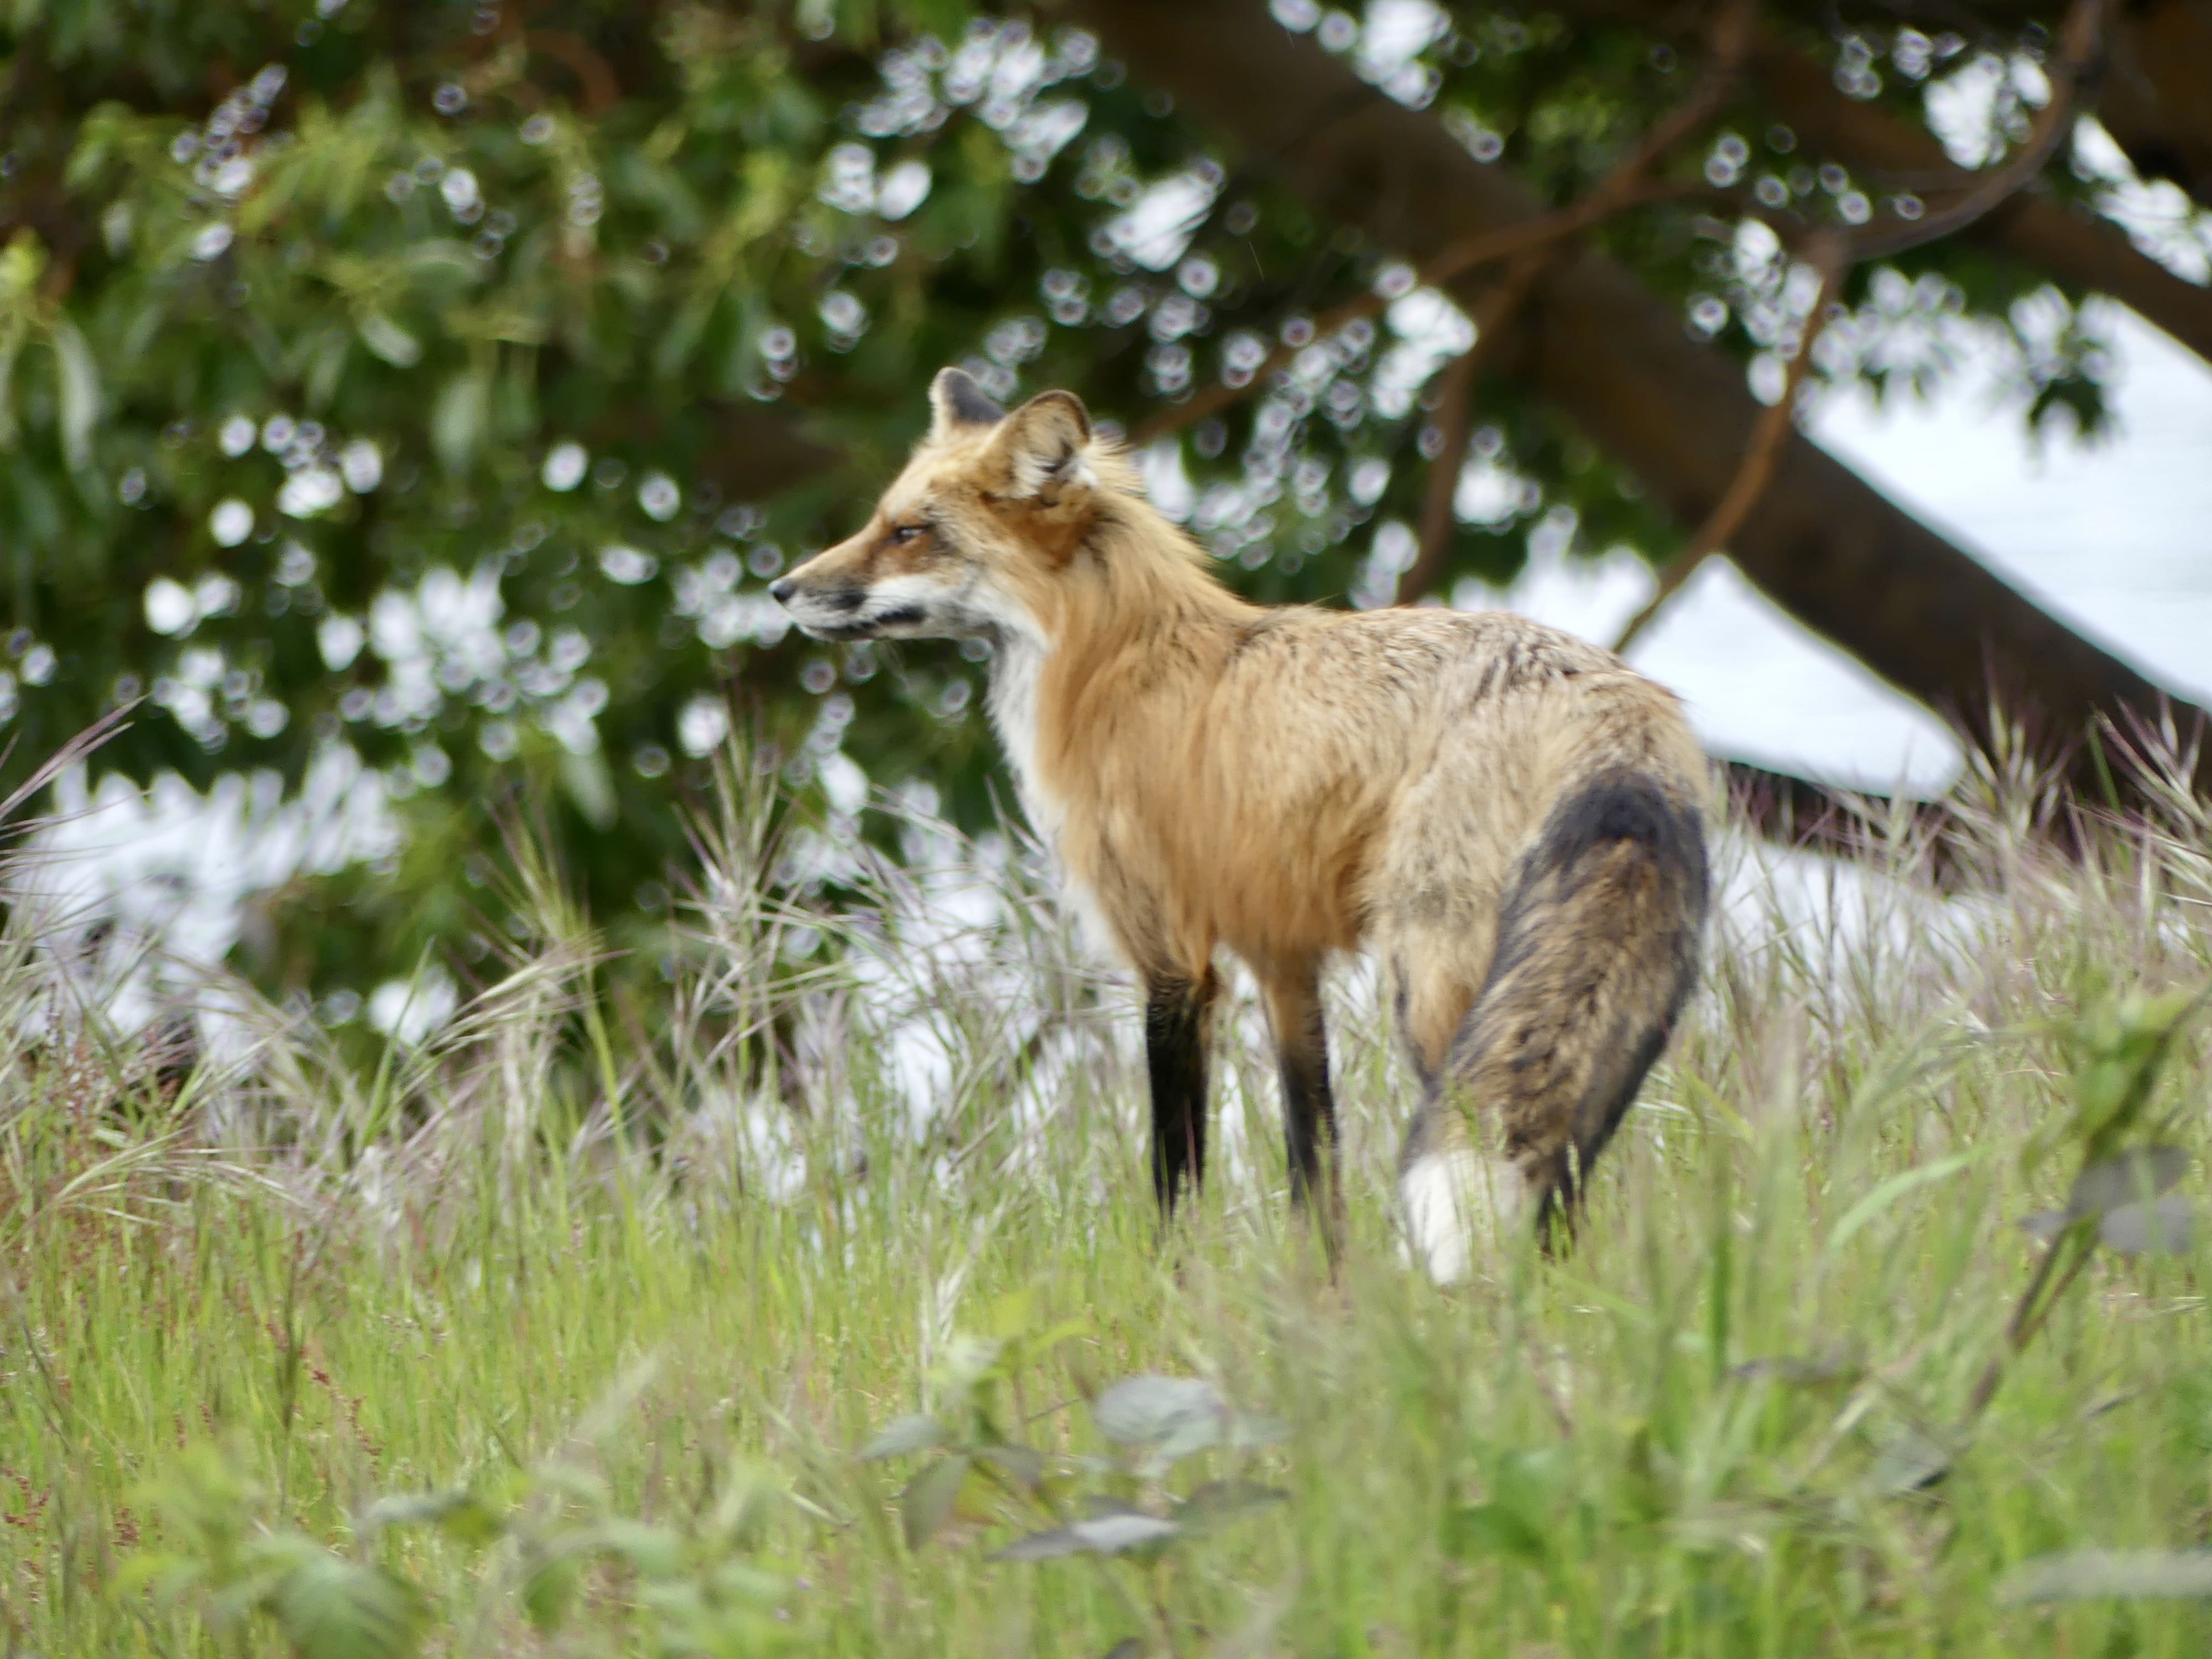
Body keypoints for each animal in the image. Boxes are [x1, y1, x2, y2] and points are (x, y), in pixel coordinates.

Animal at [771, 368, 1711, 1280]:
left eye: (908, 532)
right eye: (880, 521)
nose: (782, 589)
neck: (1118, 670)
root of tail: (1608, 692)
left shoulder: (1171, 956)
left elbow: (1175, 1168)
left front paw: (1172, 1294)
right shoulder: (1280, 956)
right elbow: (1314, 1160)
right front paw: (1322, 1299)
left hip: (1434, 981)